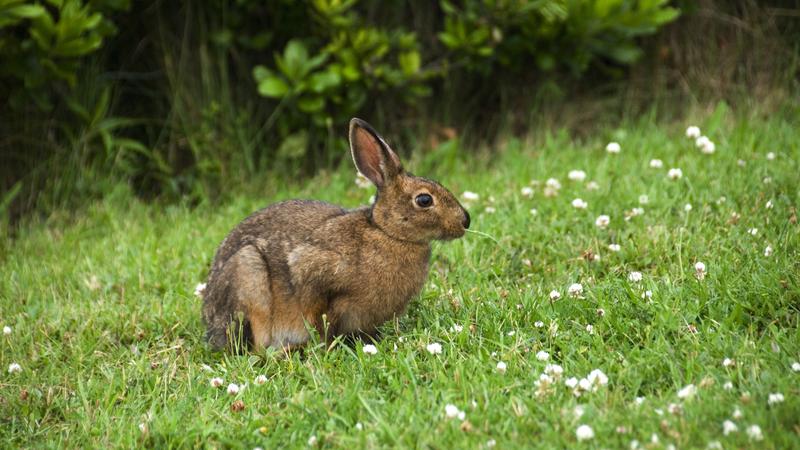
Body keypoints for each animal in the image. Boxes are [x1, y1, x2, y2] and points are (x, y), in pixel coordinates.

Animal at [200, 118, 472, 352]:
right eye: (424, 200)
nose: (465, 221)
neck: (386, 232)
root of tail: (211, 323)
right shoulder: (312, 272)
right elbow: (317, 317)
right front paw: (325, 346)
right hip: (249, 275)